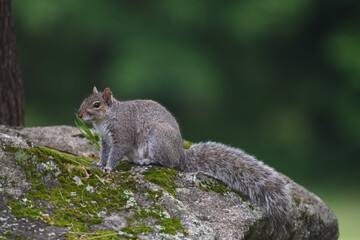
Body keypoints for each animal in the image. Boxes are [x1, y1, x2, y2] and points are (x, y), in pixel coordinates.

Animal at [77, 86, 292, 238]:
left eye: (96, 104)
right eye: (84, 100)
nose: (79, 114)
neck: (107, 118)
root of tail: (180, 155)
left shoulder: (122, 136)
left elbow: (115, 154)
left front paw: (109, 168)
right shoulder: (105, 140)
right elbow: (104, 153)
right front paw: (99, 164)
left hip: (158, 140)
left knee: (168, 164)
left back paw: (147, 161)